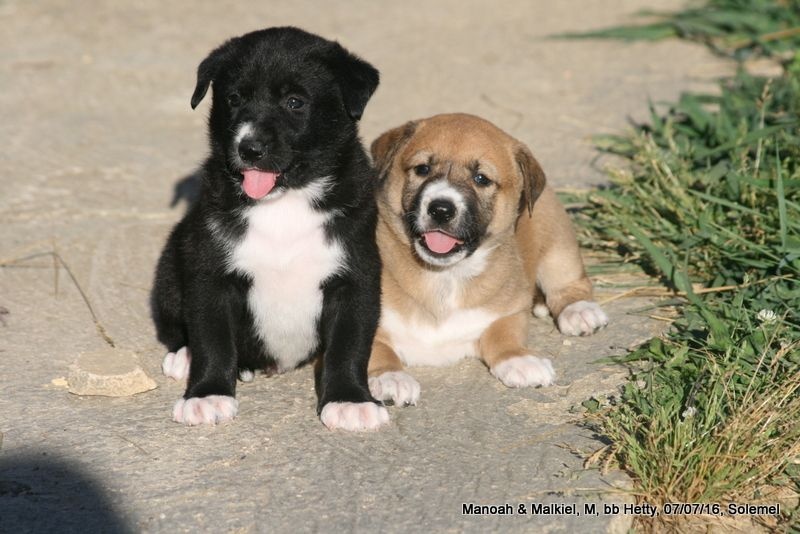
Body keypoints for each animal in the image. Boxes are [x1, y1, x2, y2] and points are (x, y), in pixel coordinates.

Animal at [152, 28, 390, 432]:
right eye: (233, 99)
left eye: (295, 102)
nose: (249, 148)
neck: (284, 203)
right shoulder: (210, 273)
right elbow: (212, 339)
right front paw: (206, 395)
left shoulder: (355, 276)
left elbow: (349, 344)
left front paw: (350, 400)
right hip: (172, 264)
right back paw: (185, 357)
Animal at [368, 114, 608, 406]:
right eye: (422, 169)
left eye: (481, 179)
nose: (441, 209)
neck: (445, 277)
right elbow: (375, 348)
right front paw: (390, 377)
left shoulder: (510, 309)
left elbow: (504, 334)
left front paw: (519, 359)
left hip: (557, 239)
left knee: (570, 282)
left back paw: (580, 311)